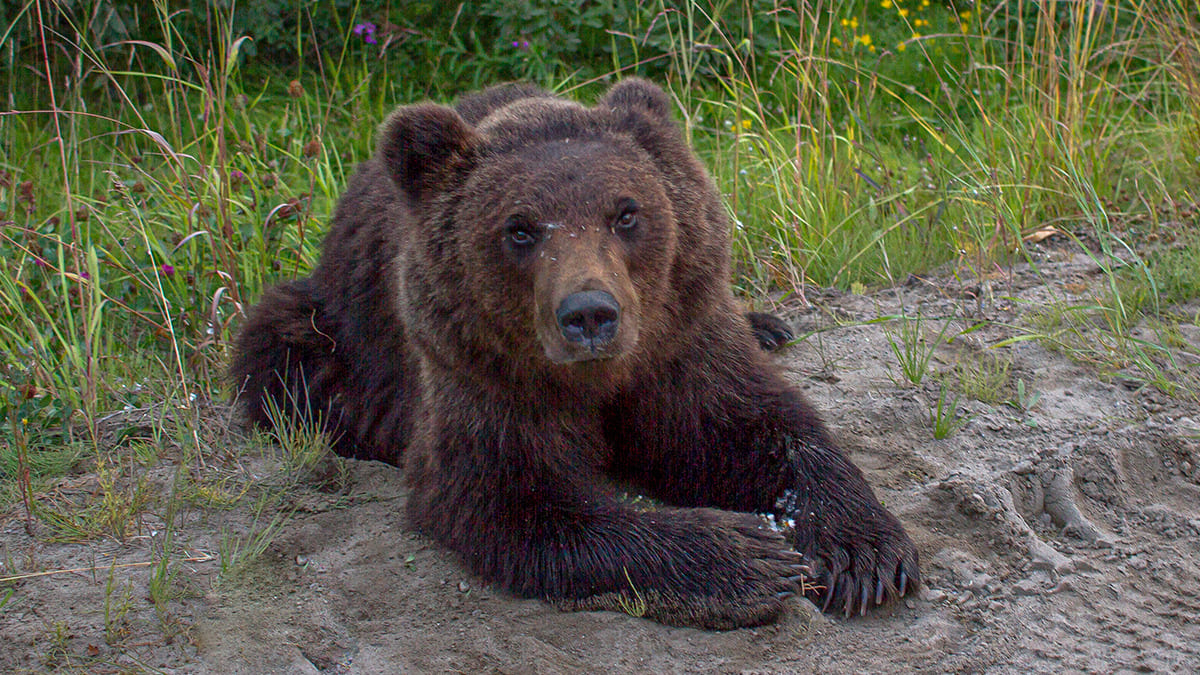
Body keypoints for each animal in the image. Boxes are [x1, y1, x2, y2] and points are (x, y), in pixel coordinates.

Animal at [231, 78, 919, 629]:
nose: (589, 314)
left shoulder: (680, 341)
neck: (599, 377)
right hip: (329, 326)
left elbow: (757, 427)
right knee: (285, 358)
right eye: (520, 229)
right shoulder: (482, 373)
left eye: (626, 213)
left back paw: (769, 326)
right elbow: (513, 493)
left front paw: (860, 551)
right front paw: (746, 557)